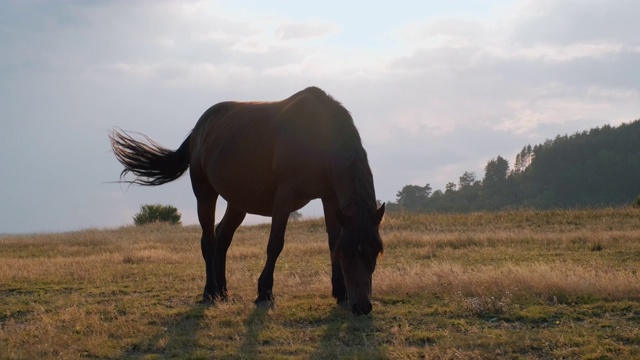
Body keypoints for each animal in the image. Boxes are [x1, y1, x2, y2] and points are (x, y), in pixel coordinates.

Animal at [109, 87, 384, 316]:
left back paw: (223, 290)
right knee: (208, 240)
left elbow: (332, 241)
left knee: (222, 237)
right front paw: (264, 293)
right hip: (205, 192)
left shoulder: (330, 198)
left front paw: (340, 292)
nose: (362, 307)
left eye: (376, 251)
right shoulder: (285, 196)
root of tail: (199, 128)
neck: (319, 136)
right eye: (350, 252)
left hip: (237, 202)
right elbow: (275, 244)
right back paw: (210, 292)